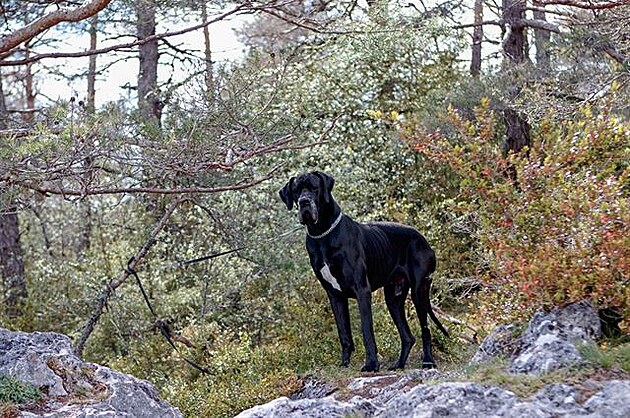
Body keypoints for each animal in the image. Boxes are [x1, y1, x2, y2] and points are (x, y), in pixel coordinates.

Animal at [282, 171, 450, 370]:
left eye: (314, 188)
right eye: (296, 190)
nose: (304, 202)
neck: (322, 234)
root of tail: (423, 238)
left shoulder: (362, 290)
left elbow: (366, 330)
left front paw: (371, 364)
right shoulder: (334, 295)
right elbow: (344, 333)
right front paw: (344, 363)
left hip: (419, 291)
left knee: (426, 329)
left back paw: (428, 361)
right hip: (393, 298)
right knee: (408, 336)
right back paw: (398, 365)